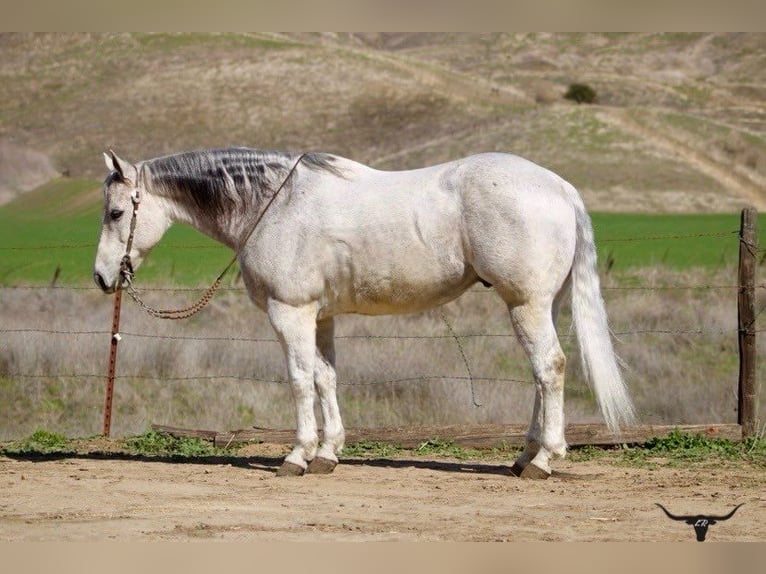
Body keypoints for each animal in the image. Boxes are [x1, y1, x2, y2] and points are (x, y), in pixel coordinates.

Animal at [94, 146, 636, 480]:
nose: (102, 277)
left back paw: (544, 460)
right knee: (541, 375)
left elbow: (298, 380)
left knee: (550, 368)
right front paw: (328, 453)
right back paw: (525, 456)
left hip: (526, 305)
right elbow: (326, 378)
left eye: (116, 213)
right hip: (542, 305)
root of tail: (560, 188)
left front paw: (297, 455)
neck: (273, 205)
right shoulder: (321, 317)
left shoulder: (290, 314)